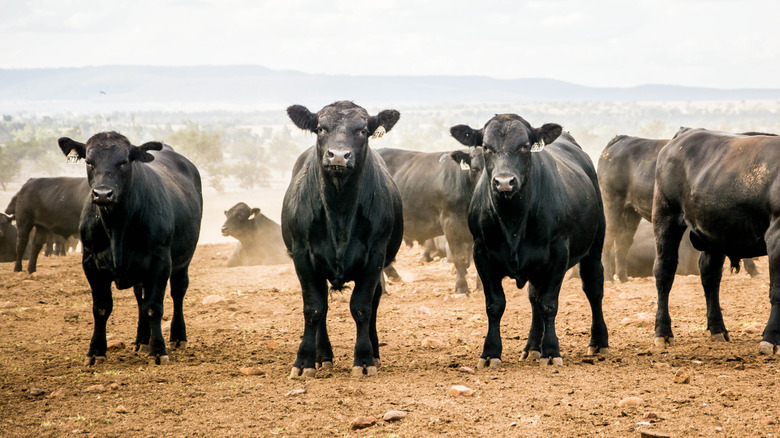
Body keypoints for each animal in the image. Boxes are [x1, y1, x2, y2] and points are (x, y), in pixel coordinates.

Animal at [58, 131, 203, 366]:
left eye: (124, 161)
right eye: (89, 161)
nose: (103, 194)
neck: (117, 226)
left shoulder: (160, 262)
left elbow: (154, 307)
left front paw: (158, 350)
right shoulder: (90, 262)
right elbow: (101, 308)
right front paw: (95, 351)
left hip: (183, 260)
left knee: (178, 292)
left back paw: (177, 337)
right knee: (139, 298)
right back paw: (141, 341)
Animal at [282, 101, 403, 378]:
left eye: (363, 130)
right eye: (320, 128)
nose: (338, 156)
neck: (339, 210)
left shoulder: (375, 257)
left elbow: (362, 307)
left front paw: (364, 360)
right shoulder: (303, 256)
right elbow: (314, 308)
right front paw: (304, 362)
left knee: (374, 303)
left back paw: (374, 352)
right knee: (323, 307)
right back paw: (323, 356)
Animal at [451, 114, 609, 367]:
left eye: (524, 146)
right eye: (486, 147)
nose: (504, 182)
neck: (513, 220)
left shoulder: (558, 254)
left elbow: (549, 303)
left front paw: (551, 351)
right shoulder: (481, 254)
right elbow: (495, 305)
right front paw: (490, 352)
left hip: (594, 247)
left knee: (593, 288)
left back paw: (599, 342)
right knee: (534, 297)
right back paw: (532, 346)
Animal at [598, 134, 760, 282]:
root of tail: (620, 139)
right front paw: (753, 270)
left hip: (631, 211)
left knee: (623, 241)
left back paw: (623, 277)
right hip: (612, 202)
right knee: (608, 238)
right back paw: (608, 277)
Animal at [653, 128, 780, 355]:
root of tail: (686, 133)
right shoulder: (776, 235)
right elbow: (777, 291)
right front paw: (771, 339)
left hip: (715, 233)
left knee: (709, 275)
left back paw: (718, 329)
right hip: (665, 216)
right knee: (664, 272)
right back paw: (663, 333)